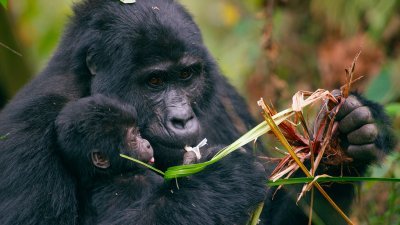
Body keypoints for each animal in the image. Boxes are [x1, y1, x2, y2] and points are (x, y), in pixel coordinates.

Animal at [0, 0, 396, 225]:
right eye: (154, 81)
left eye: (186, 75)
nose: (182, 119)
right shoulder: (25, 133)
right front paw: (221, 179)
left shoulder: (220, 94)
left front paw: (340, 140)